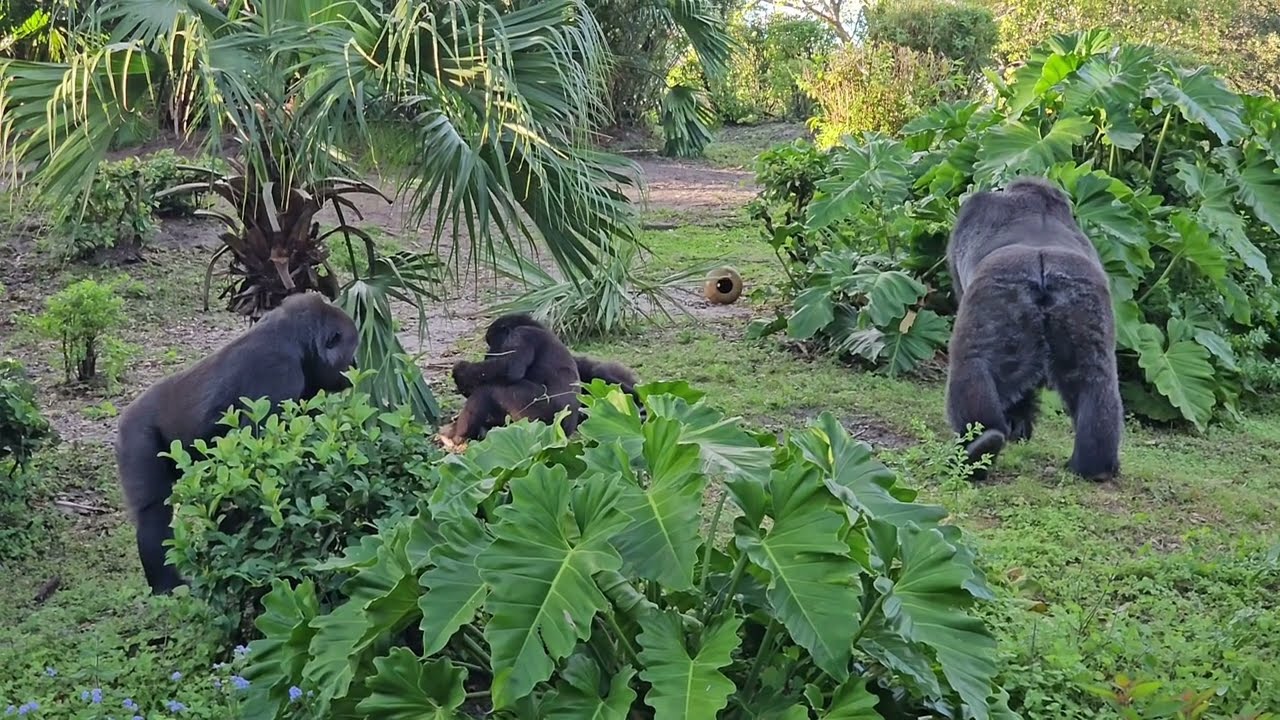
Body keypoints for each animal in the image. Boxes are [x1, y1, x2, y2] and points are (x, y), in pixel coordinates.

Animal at [114, 292, 359, 594]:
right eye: (351, 348)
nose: (355, 365)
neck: (295, 339)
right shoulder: (277, 371)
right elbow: (257, 463)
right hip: (136, 435)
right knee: (153, 512)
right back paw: (167, 585)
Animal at [438, 313, 581, 450]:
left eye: (491, 342)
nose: (488, 352)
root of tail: (564, 434)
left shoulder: (521, 335)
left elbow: (509, 368)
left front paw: (461, 373)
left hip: (536, 418)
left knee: (490, 389)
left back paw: (457, 436)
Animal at [944, 175, 1123, 482]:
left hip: (997, 296)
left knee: (971, 366)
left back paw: (977, 450)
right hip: (1083, 302)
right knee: (1096, 381)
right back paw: (1095, 466)